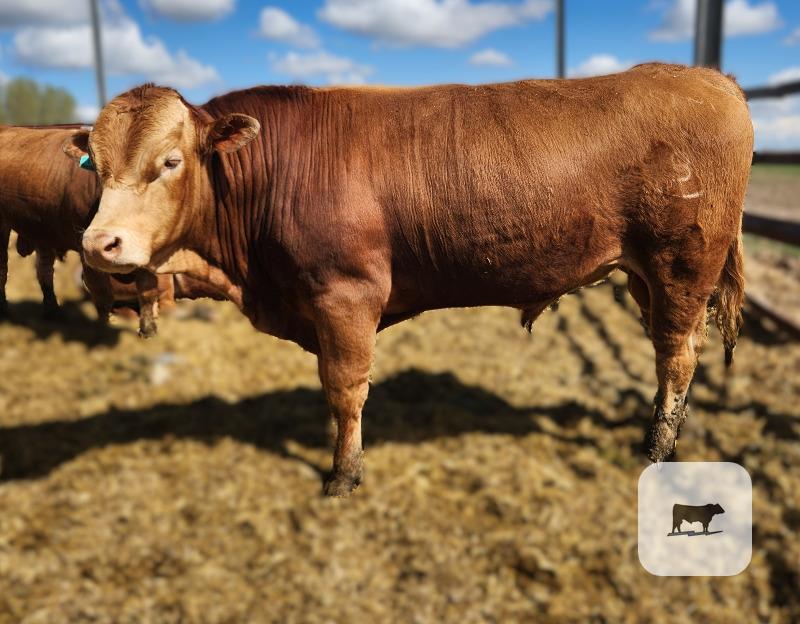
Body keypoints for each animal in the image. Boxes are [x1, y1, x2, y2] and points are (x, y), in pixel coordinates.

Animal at [65, 62, 751, 496]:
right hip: (644, 273)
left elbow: (345, 389)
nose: (99, 243)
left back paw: (657, 447)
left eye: (169, 161)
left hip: (684, 263)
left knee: (676, 353)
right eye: (95, 163)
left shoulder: (346, 295)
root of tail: (707, 76)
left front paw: (343, 475)